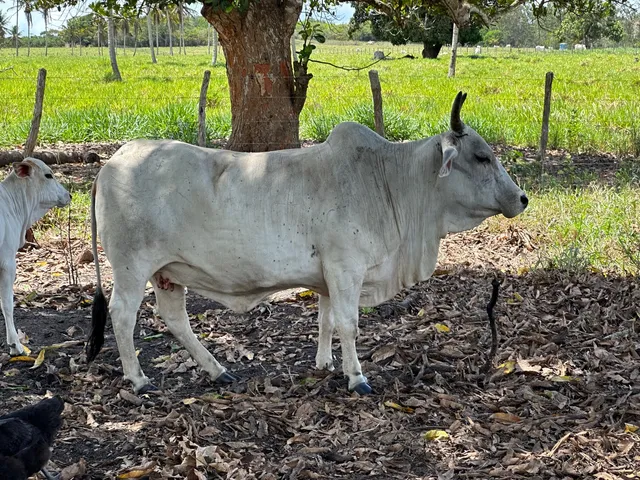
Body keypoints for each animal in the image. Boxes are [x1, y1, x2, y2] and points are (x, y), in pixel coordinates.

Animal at [86, 92, 529, 395]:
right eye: (482, 156)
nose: (522, 198)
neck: (389, 181)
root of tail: (112, 162)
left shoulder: (327, 276)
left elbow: (326, 320)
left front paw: (325, 363)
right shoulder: (346, 269)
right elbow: (349, 324)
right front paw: (356, 377)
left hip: (168, 273)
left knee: (175, 319)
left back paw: (218, 370)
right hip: (132, 268)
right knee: (123, 316)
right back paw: (139, 379)